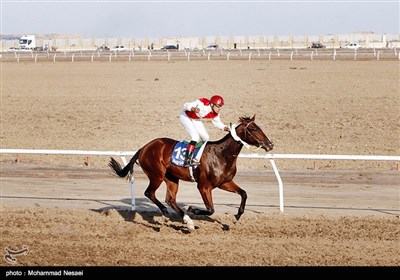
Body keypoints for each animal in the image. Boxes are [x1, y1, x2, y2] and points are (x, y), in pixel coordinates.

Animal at [108, 115, 274, 231]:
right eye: (254, 129)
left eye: (259, 127)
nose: (270, 144)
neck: (222, 154)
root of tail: (144, 148)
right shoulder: (204, 186)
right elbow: (211, 210)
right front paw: (192, 209)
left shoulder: (224, 183)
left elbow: (244, 193)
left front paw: (236, 217)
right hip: (157, 175)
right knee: (150, 193)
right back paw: (167, 214)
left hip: (172, 178)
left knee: (171, 200)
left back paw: (187, 222)